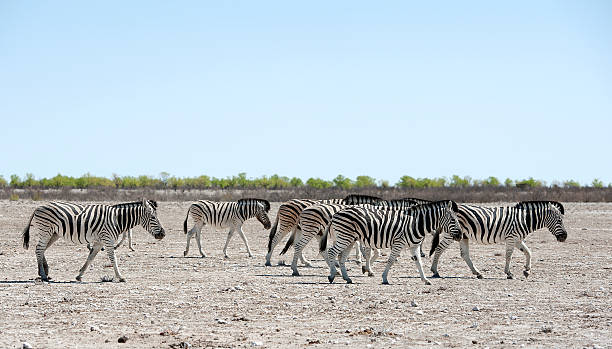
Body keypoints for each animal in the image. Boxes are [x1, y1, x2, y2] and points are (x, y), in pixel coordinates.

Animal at [21, 197, 165, 282]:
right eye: (153, 217)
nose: (163, 234)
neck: (117, 219)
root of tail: (38, 206)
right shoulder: (107, 239)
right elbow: (113, 258)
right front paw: (120, 276)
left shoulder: (99, 242)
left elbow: (90, 258)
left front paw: (79, 275)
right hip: (46, 231)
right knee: (39, 249)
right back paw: (43, 275)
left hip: (54, 234)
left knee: (41, 249)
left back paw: (45, 272)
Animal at [282, 197, 430, 276]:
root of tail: (304, 210)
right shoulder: (368, 236)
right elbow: (369, 252)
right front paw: (365, 265)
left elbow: (372, 252)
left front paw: (366, 267)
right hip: (306, 229)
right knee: (294, 244)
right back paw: (294, 267)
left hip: (315, 232)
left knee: (315, 248)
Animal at [320, 200, 460, 284]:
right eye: (453, 220)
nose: (460, 235)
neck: (416, 224)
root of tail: (337, 212)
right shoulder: (399, 243)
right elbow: (391, 260)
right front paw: (385, 278)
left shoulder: (414, 246)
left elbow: (419, 263)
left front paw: (425, 280)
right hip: (345, 237)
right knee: (332, 252)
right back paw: (332, 275)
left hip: (349, 239)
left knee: (341, 256)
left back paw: (347, 278)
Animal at [428, 200, 568, 278]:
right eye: (559, 220)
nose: (565, 237)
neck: (524, 220)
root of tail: (448, 210)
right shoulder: (511, 237)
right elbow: (509, 256)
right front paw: (508, 273)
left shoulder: (518, 239)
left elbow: (528, 252)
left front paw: (527, 270)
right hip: (451, 233)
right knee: (439, 248)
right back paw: (435, 271)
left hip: (463, 236)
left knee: (464, 254)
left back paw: (478, 273)